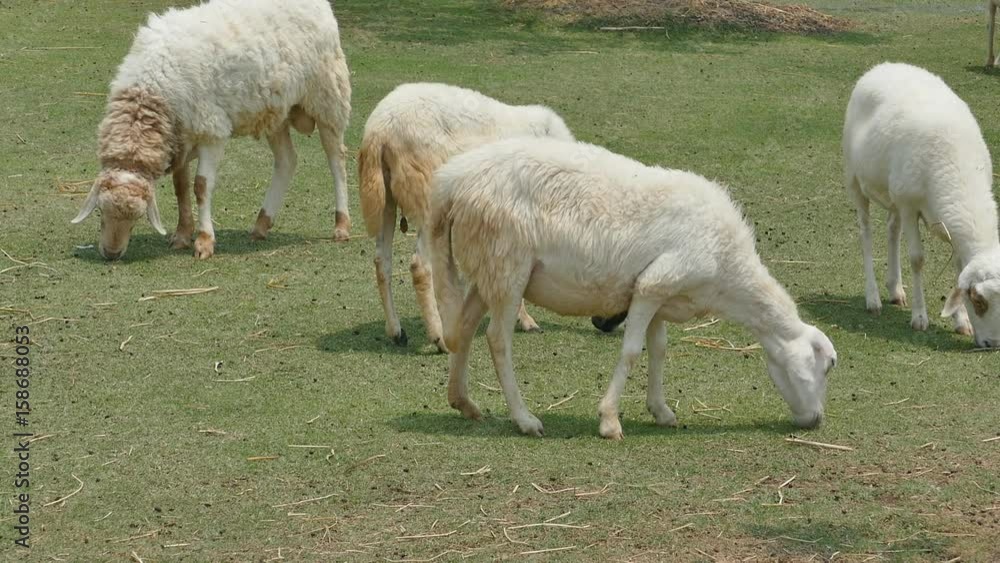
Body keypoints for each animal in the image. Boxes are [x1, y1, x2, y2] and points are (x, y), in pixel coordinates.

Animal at [71, 0, 352, 260]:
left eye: (138, 217)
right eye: (100, 211)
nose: (111, 253)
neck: (153, 86)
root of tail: (321, 5)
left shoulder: (212, 130)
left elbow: (200, 186)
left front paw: (204, 241)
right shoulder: (181, 137)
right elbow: (181, 187)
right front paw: (182, 235)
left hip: (329, 97)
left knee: (337, 161)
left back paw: (341, 226)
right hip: (277, 111)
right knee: (287, 161)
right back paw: (261, 225)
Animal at [357, 82, 575, 351]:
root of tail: (379, 129)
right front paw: (524, 319)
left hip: (385, 197)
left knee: (381, 261)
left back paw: (396, 332)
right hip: (427, 195)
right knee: (420, 266)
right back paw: (438, 337)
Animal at [430, 138, 837, 439]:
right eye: (828, 366)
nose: (816, 420)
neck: (729, 275)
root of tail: (454, 179)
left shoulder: (659, 292)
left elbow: (659, 350)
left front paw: (661, 410)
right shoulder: (655, 284)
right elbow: (630, 352)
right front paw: (609, 421)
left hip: (487, 268)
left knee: (464, 328)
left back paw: (463, 402)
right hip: (508, 264)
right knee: (497, 340)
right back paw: (524, 419)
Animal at [843, 62, 1000, 348]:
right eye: (978, 300)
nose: (993, 345)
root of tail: (882, 66)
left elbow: (958, 268)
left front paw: (961, 322)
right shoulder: (909, 206)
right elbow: (917, 259)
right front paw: (919, 318)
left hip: (893, 193)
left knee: (892, 229)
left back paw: (895, 289)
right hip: (854, 179)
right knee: (866, 232)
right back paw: (873, 298)